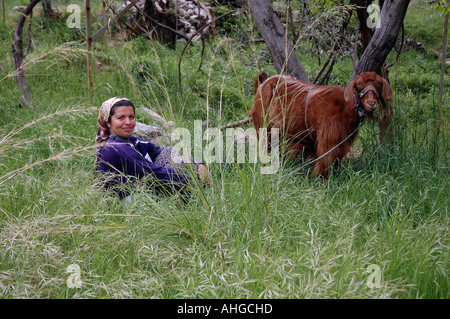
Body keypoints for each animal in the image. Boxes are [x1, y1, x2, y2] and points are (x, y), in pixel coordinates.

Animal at [251, 71, 392, 180]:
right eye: (358, 85)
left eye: (379, 84)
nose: (371, 103)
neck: (344, 108)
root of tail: (264, 82)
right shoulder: (328, 137)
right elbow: (326, 159)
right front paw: (323, 181)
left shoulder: (344, 139)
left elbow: (336, 159)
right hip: (263, 125)